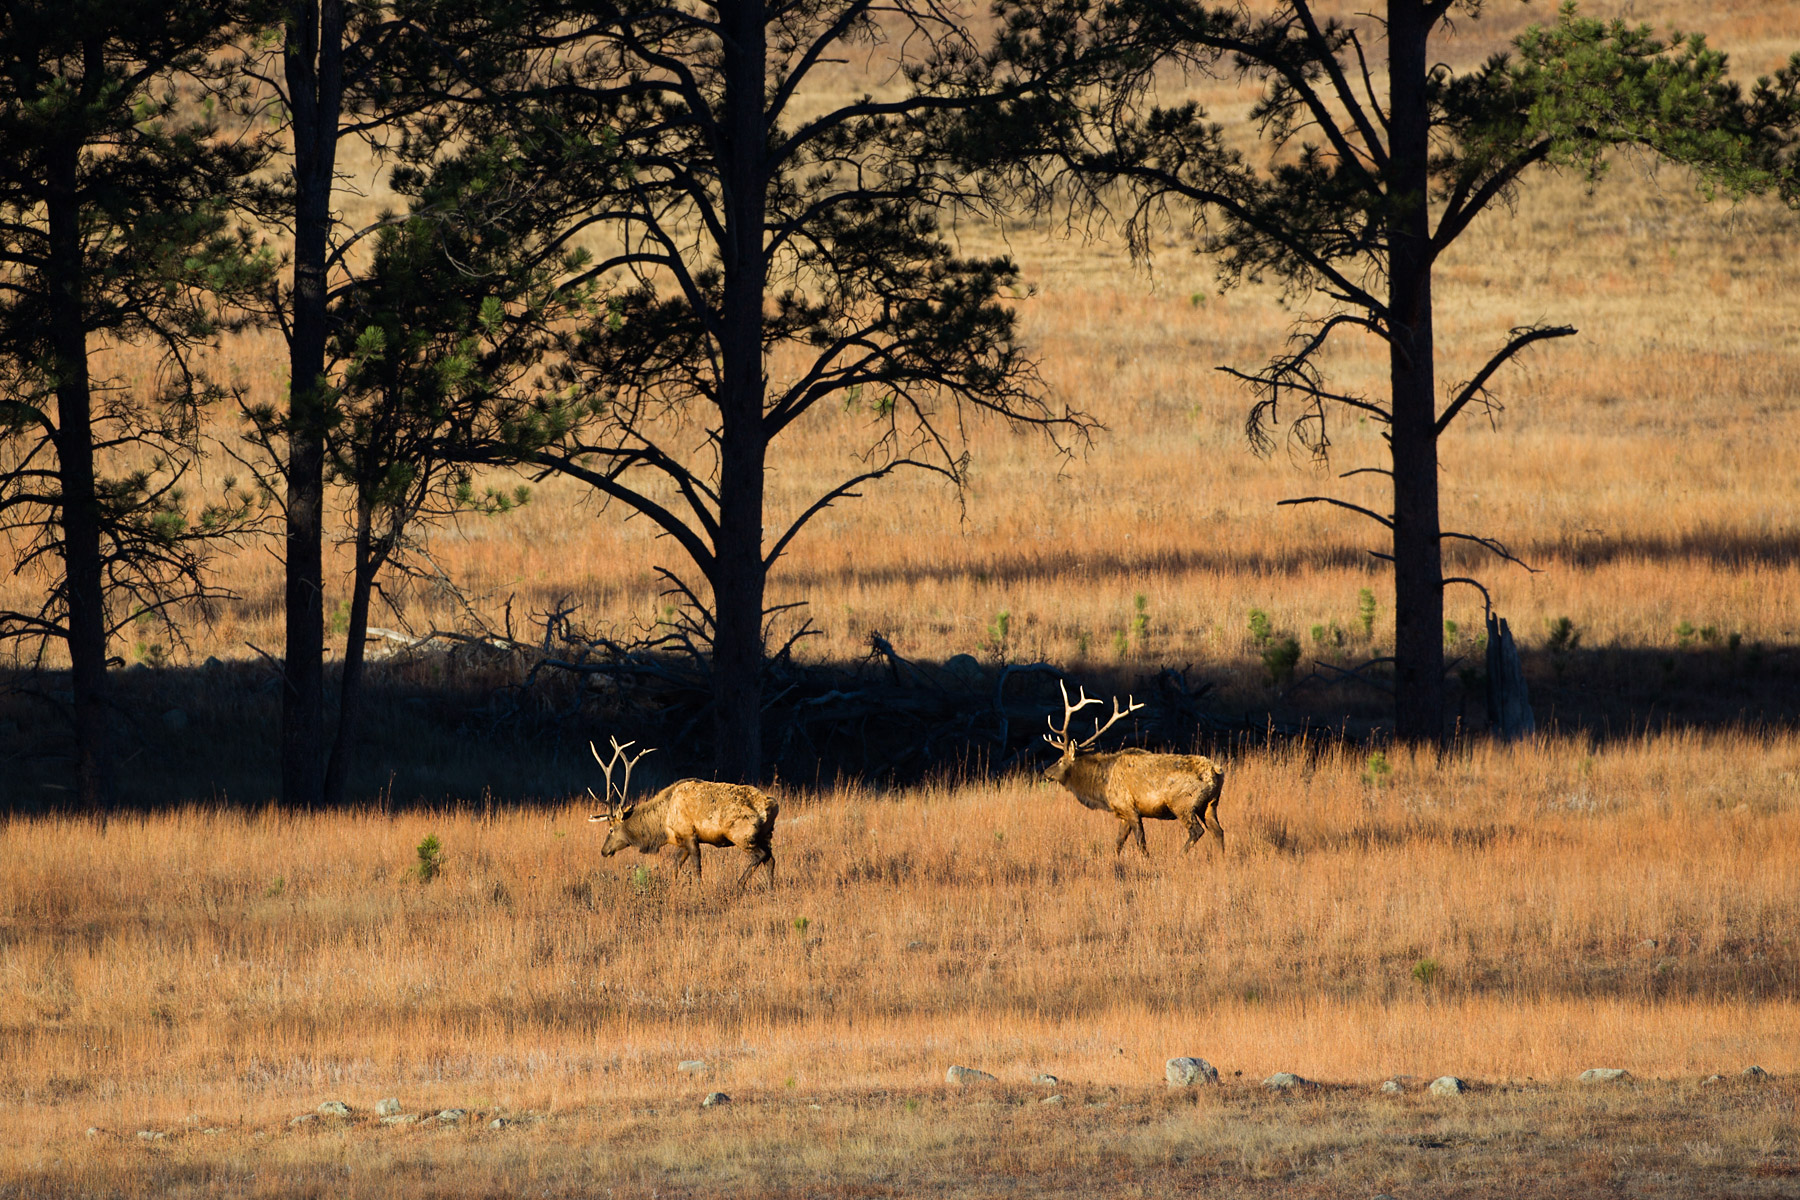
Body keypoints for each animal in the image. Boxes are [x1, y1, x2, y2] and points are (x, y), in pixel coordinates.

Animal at [586, 741, 777, 892]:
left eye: (611, 829)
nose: (604, 851)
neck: (663, 826)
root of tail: (772, 805)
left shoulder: (689, 835)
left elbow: (696, 868)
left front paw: (699, 891)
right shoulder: (683, 840)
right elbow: (675, 867)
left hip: (742, 834)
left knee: (760, 855)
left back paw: (738, 884)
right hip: (765, 834)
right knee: (771, 859)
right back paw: (770, 890)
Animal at [1044, 683, 1224, 852]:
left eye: (1060, 760)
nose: (1046, 772)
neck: (1102, 788)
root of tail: (1216, 772)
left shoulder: (1130, 809)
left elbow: (1141, 842)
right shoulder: (1123, 814)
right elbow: (1118, 843)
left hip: (1183, 803)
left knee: (1197, 831)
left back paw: (1180, 856)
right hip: (1210, 804)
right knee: (1218, 832)